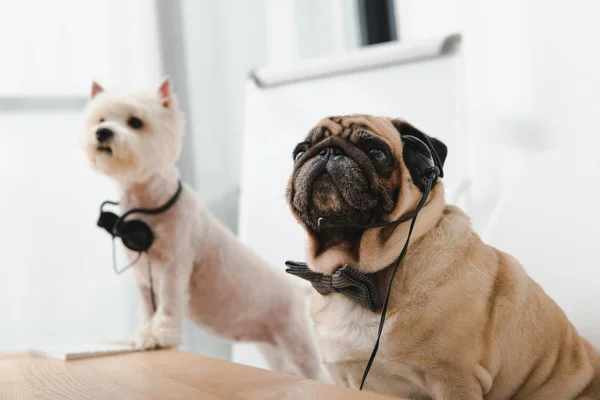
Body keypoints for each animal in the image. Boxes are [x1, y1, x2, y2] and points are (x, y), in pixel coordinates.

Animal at [83, 77, 324, 378]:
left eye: (135, 122)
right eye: (100, 119)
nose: (102, 132)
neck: (147, 205)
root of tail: (296, 288)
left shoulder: (174, 265)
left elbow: (167, 303)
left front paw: (160, 335)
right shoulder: (141, 275)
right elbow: (147, 308)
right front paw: (144, 335)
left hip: (296, 339)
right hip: (272, 347)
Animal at [284, 113, 600, 400]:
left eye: (377, 153)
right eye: (299, 151)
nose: (328, 151)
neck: (355, 275)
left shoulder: (453, 379)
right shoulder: (341, 379)